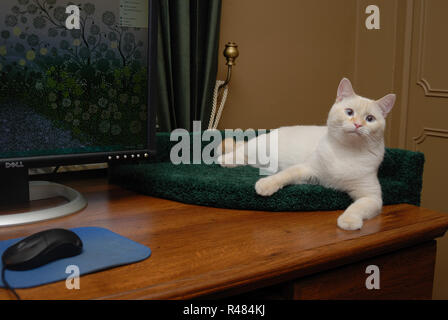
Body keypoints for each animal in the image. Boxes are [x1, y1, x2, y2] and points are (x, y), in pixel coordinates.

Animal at [217, 79, 396, 231]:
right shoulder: (306, 168)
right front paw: (266, 185)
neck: (346, 152)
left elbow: (356, 207)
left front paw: (348, 221)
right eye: (349, 112)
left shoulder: (371, 196)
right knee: (240, 150)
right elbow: (282, 176)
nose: (358, 124)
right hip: (260, 149)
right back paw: (225, 159)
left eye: (370, 118)